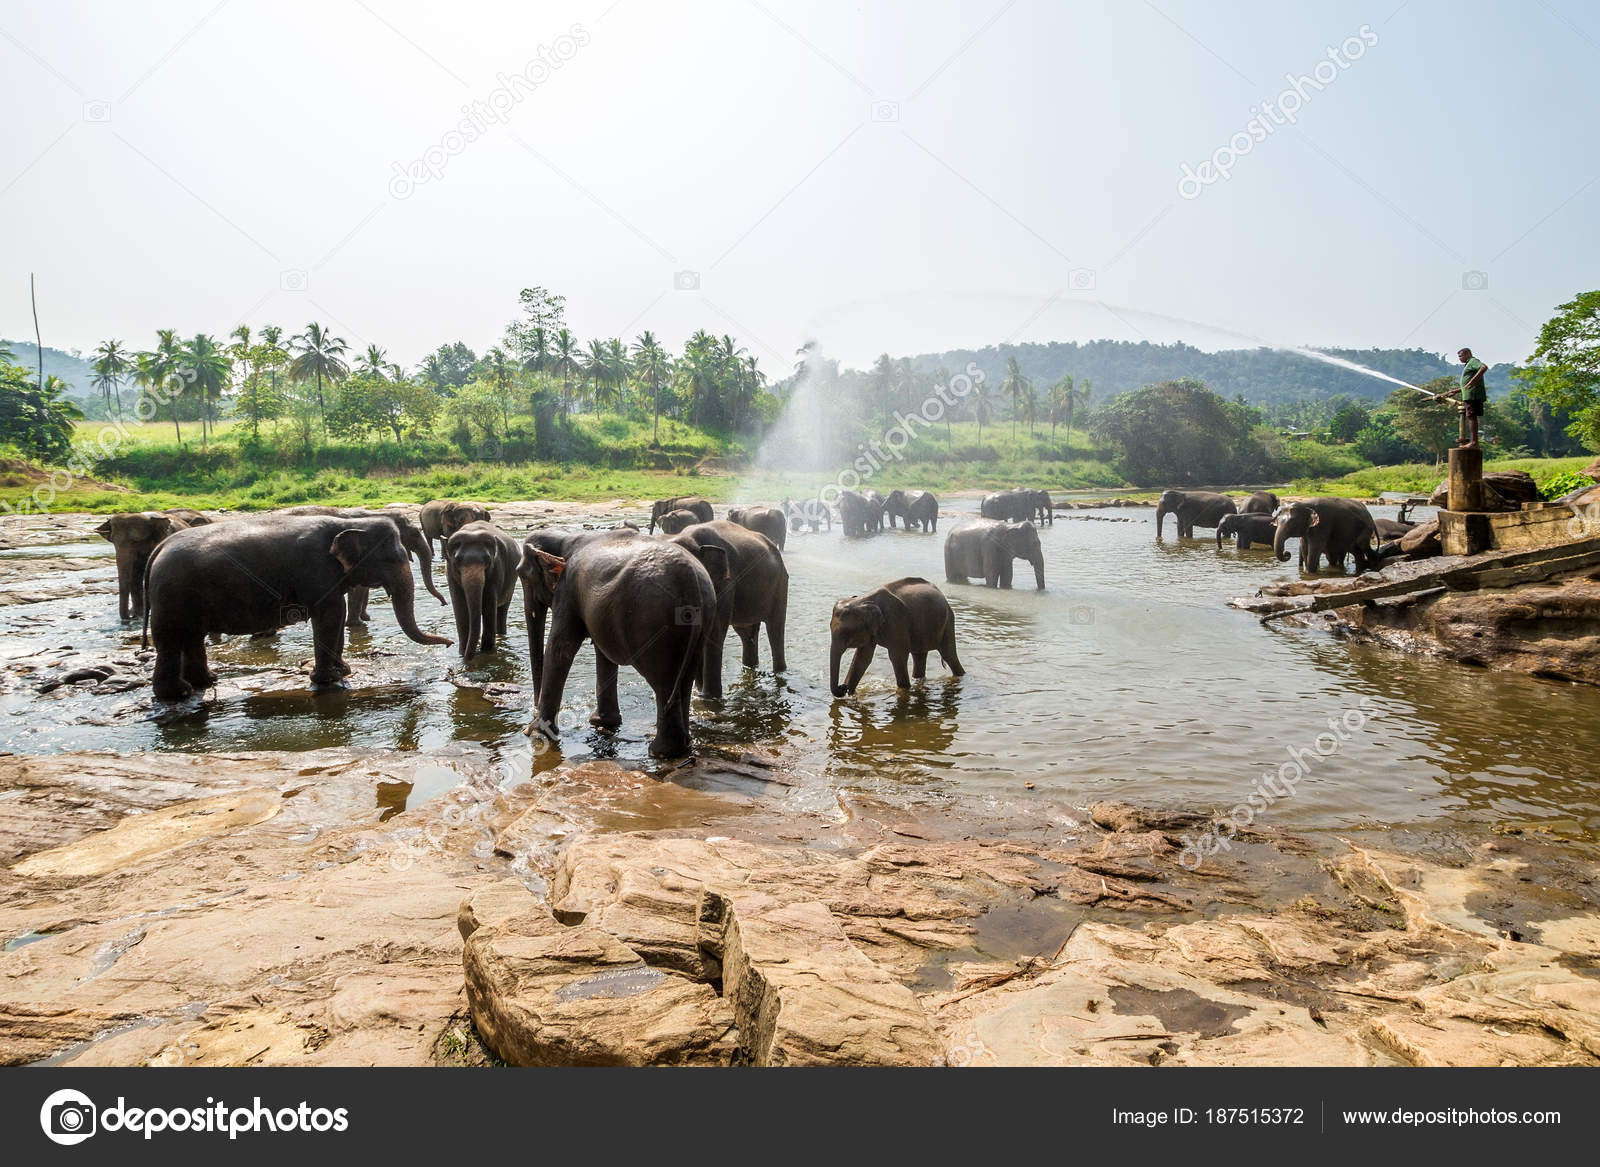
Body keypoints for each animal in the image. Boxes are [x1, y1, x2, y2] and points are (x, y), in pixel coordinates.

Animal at [141, 512, 451, 697]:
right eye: (392, 559)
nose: (449, 643)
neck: (347, 522)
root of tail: (158, 549)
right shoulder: (317, 572)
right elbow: (329, 616)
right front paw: (329, 680)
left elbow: (336, 616)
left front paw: (344, 671)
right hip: (171, 596)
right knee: (170, 639)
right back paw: (179, 693)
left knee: (192, 636)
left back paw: (207, 682)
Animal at [441, 515, 521, 656]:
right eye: (457, 561)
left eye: (487, 560)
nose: (449, 644)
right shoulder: (450, 573)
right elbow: (460, 609)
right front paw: (462, 653)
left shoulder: (496, 571)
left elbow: (489, 606)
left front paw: (486, 654)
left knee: (502, 610)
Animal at [521, 534, 723, 755]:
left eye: (522, 575)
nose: (534, 707)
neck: (566, 537)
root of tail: (691, 581)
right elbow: (601, 652)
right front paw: (602, 722)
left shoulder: (567, 591)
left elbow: (561, 648)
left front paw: (532, 732)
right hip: (703, 618)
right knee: (684, 680)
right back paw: (682, 746)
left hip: (654, 624)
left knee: (663, 683)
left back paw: (660, 751)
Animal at [825, 579, 960, 697]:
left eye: (845, 633)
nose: (842, 687)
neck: (863, 600)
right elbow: (862, 658)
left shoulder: (897, 621)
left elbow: (897, 657)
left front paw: (904, 689)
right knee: (919, 655)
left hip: (948, 621)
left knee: (948, 654)